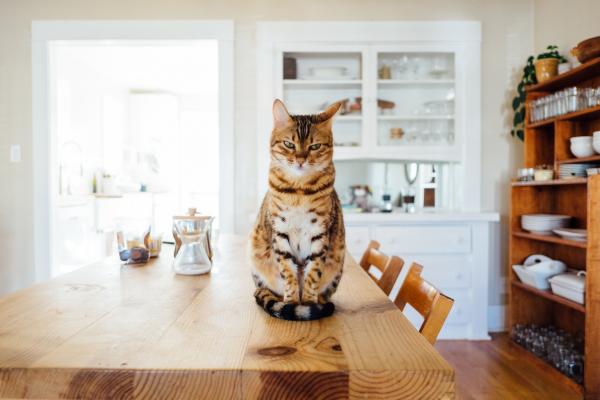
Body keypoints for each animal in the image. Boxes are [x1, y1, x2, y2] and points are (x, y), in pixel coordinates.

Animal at [248, 100, 344, 322]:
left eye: (315, 146)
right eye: (289, 144)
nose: (300, 160)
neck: (299, 191)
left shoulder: (320, 233)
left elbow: (313, 273)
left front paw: (308, 303)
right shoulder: (280, 232)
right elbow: (288, 273)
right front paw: (291, 303)